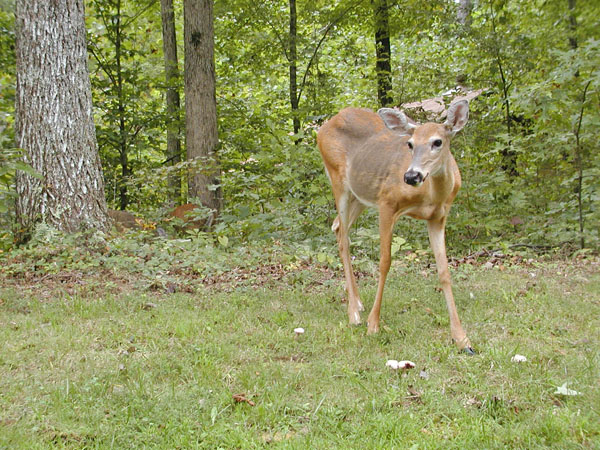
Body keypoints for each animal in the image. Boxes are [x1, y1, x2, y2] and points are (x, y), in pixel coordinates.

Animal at [316, 99, 476, 356]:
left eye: (437, 141)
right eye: (410, 144)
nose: (411, 176)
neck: (432, 195)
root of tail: (326, 124)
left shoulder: (438, 217)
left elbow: (444, 271)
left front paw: (462, 339)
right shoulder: (387, 203)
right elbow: (385, 262)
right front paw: (373, 325)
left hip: (361, 195)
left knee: (338, 227)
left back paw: (358, 302)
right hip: (338, 179)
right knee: (343, 238)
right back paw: (354, 313)